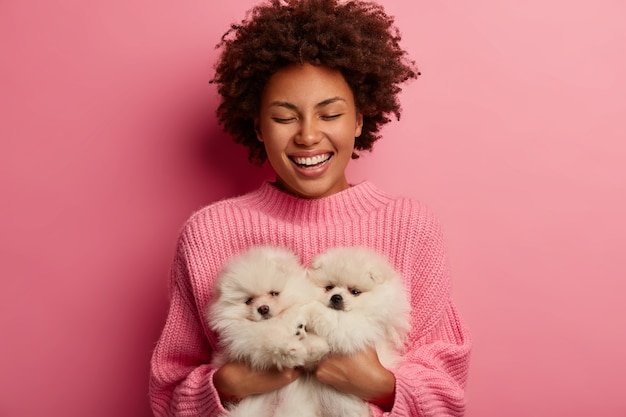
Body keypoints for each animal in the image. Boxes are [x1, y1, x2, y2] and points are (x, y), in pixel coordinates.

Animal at [207, 245, 330, 416]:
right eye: (248, 301)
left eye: (273, 293)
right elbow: (270, 340)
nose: (263, 308)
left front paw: (315, 345)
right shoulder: (247, 341)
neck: (277, 321)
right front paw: (291, 349)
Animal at [302, 245, 410, 416]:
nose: (336, 297)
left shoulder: (354, 329)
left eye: (355, 292)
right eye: (329, 287)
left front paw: (308, 309)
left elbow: (327, 317)